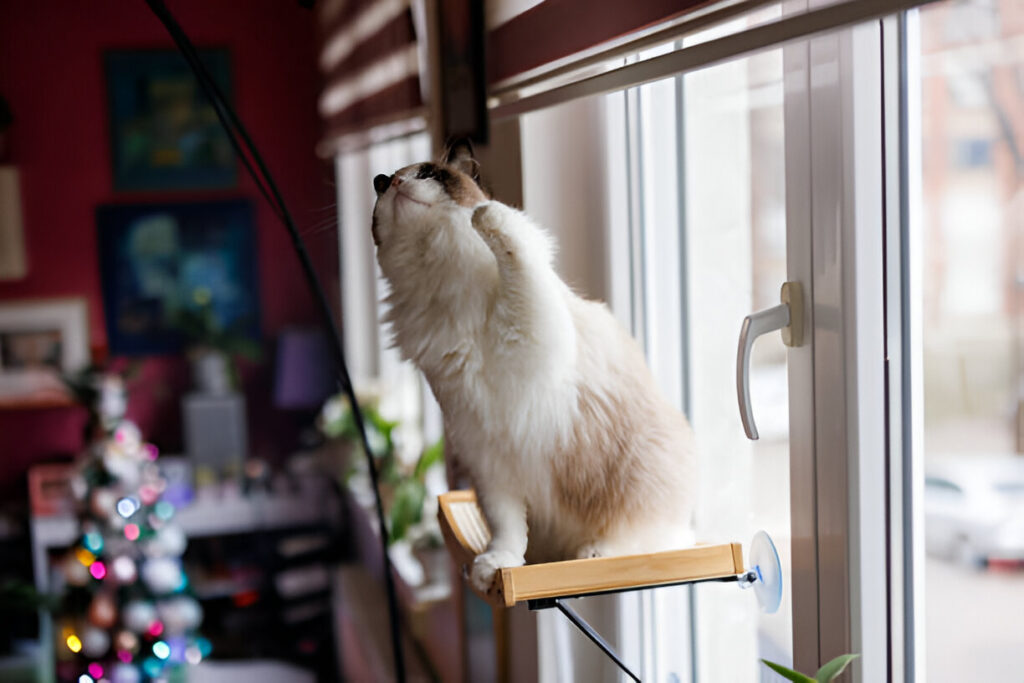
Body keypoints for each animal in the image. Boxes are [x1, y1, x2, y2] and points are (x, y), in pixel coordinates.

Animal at [372, 141, 700, 589]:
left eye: (427, 174)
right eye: (384, 184)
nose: (395, 182)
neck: (440, 286)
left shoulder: (530, 330)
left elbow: (507, 238)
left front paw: (482, 214)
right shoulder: (487, 455)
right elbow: (507, 529)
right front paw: (497, 568)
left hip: (643, 472)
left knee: (633, 537)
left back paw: (594, 553)